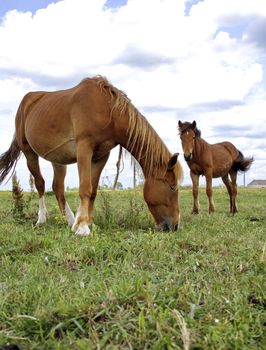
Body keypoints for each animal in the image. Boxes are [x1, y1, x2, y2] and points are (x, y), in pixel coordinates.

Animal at [0, 76, 183, 235]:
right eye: (172, 187)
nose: (174, 226)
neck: (107, 110)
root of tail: (27, 101)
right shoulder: (84, 149)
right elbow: (85, 188)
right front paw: (82, 227)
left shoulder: (101, 156)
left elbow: (93, 190)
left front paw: (87, 222)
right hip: (29, 153)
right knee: (40, 184)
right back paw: (42, 219)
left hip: (57, 160)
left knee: (58, 188)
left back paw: (69, 220)